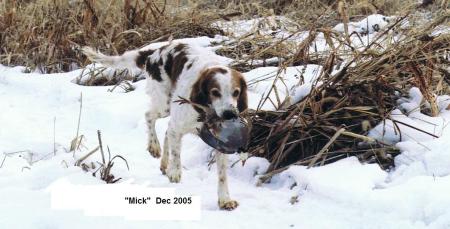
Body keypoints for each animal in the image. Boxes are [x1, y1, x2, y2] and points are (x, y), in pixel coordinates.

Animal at [82, 40, 248, 209]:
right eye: (215, 92)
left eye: (236, 92)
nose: (230, 114)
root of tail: (154, 52)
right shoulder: (178, 125)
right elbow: (176, 153)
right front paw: (174, 172)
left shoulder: (220, 143)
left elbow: (222, 175)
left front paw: (225, 199)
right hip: (164, 105)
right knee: (149, 116)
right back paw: (154, 147)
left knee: (166, 130)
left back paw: (164, 162)